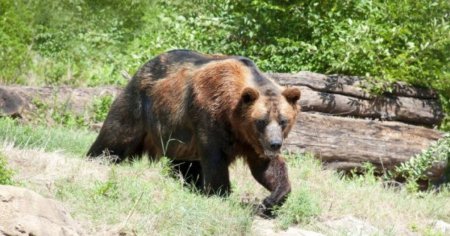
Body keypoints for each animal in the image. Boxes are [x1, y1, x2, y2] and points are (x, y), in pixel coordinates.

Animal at [86, 49, 300, 214]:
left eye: (283, 120)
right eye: (261, 121)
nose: (275, 144)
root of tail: (142, 68)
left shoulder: (252, 141)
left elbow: (266, 168)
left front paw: (270, 200)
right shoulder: (209, 116)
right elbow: (215, 158)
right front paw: (219, 193)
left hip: (179, 138)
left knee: (185, 164)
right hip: (139, 107)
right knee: (115, 138)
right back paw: (96, 158)